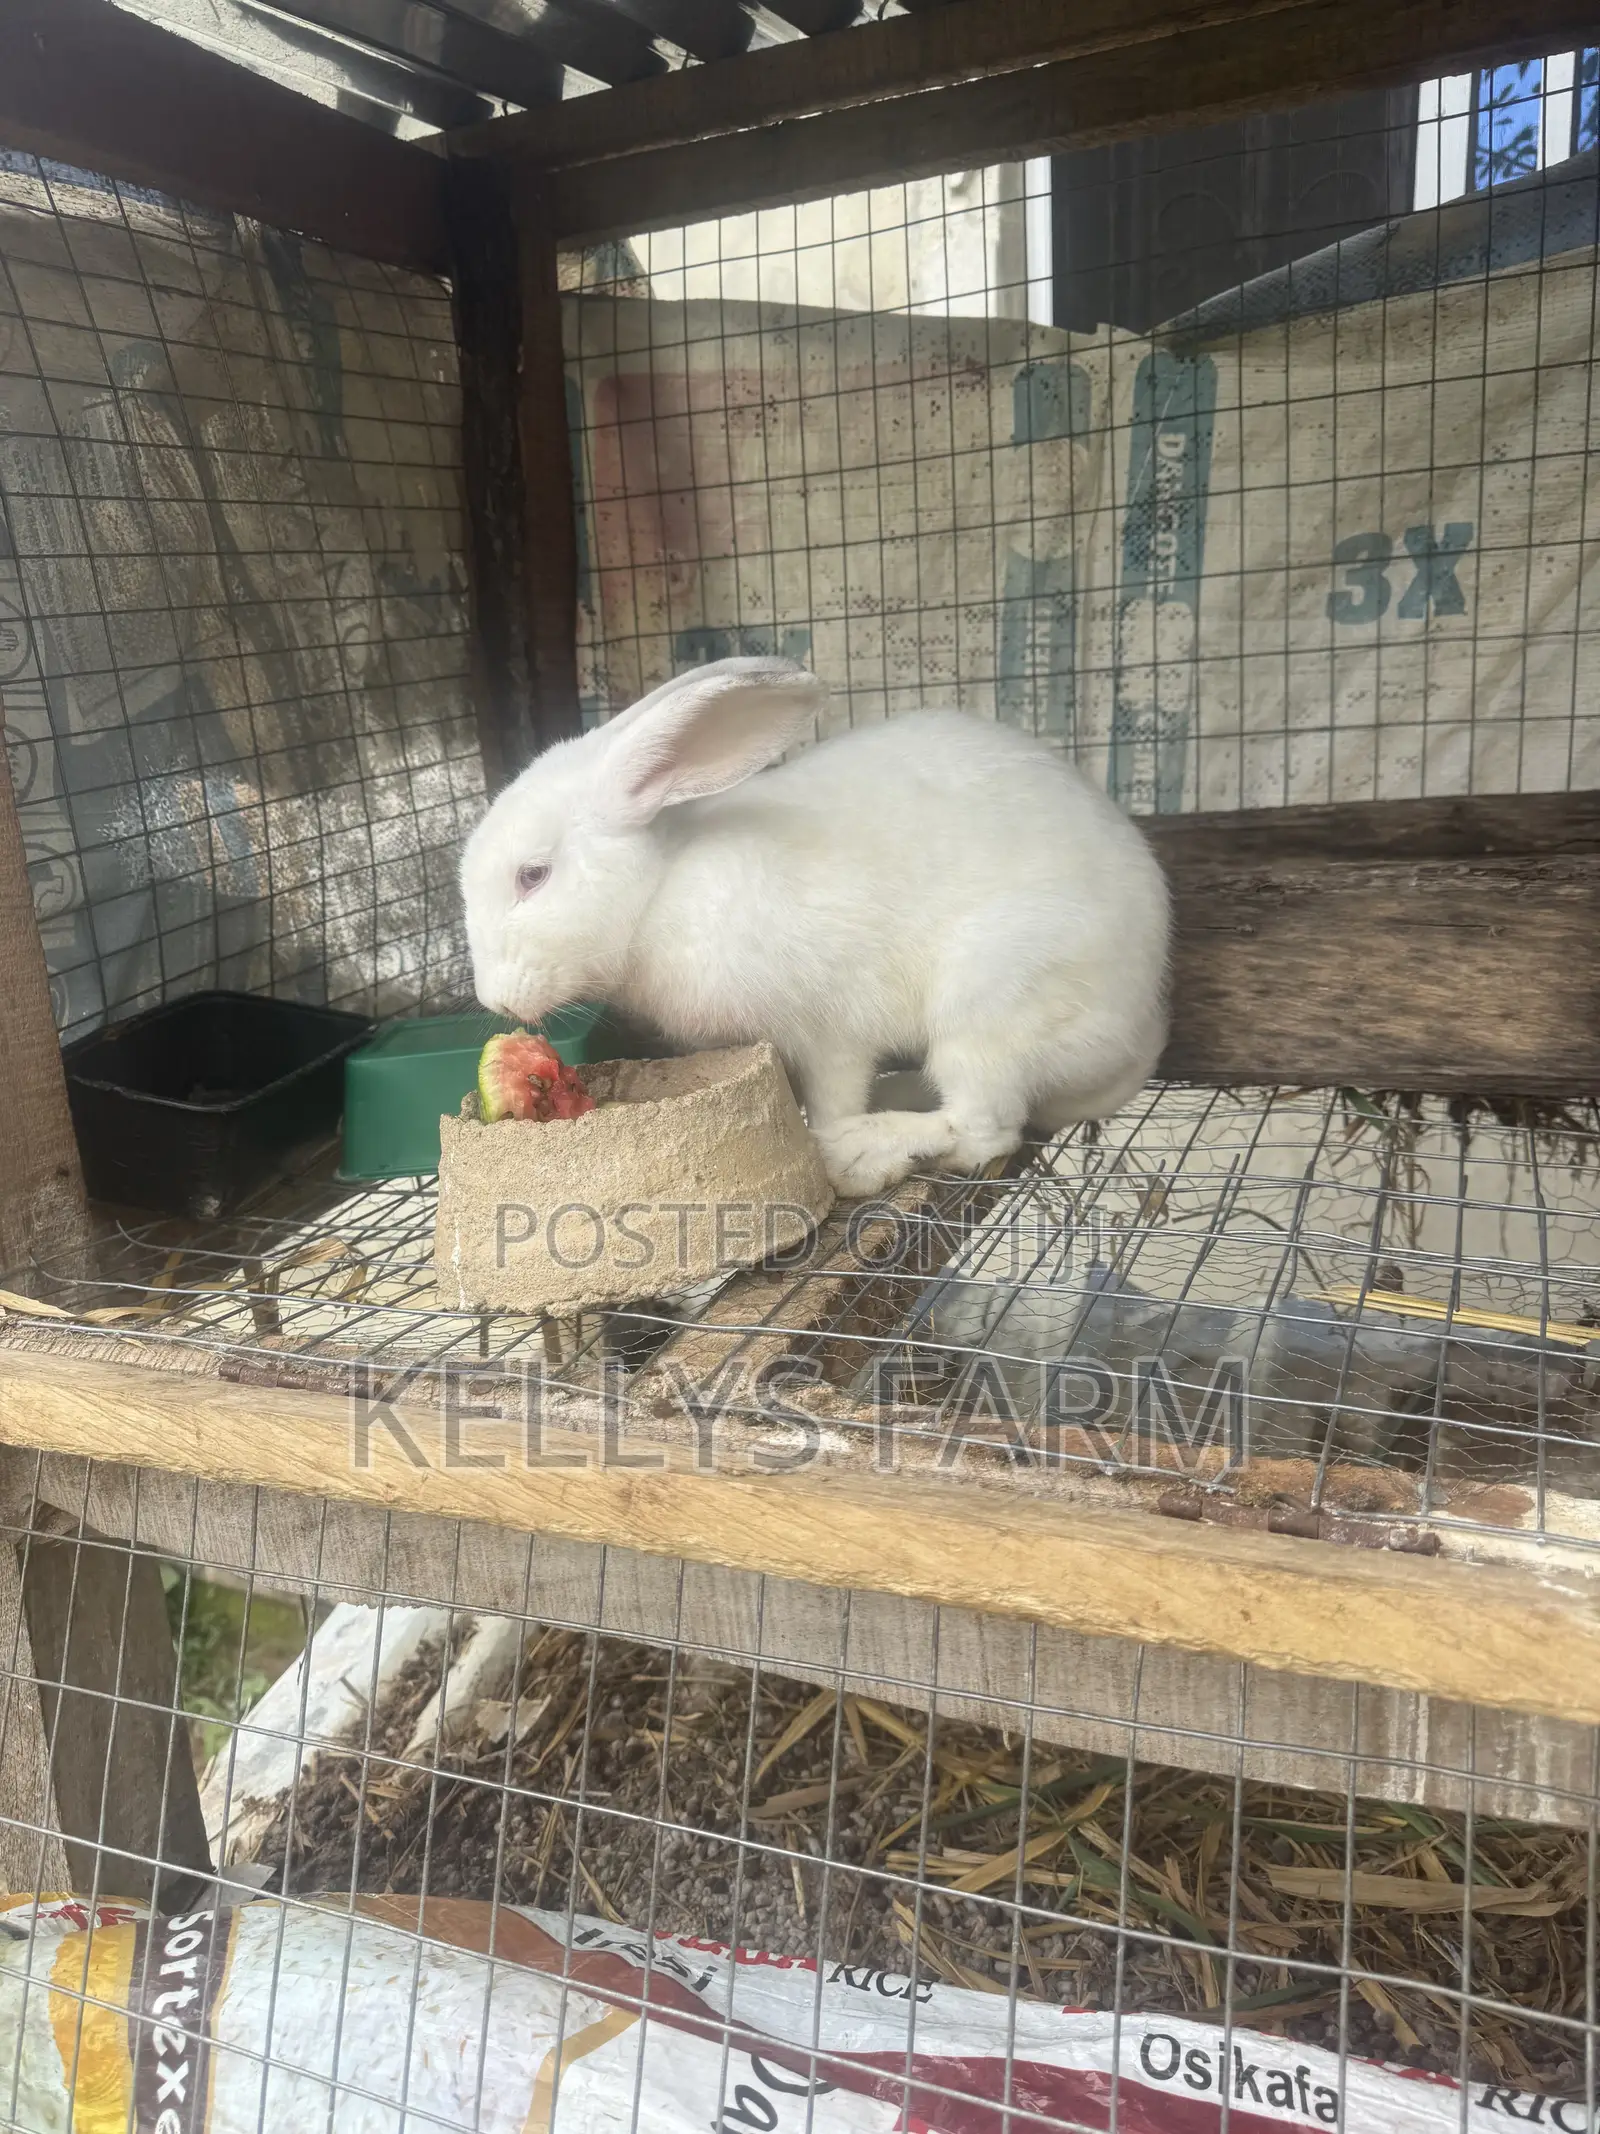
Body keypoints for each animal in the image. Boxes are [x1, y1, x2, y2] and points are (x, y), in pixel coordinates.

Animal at [461, 657, 1170, 1198]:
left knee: (982, 1128)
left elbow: (834, 1096)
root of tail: (1137, 1036)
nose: (495, 1000)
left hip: (992, 1002)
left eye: (533, 876)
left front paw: (827, 1141)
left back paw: (864, 1151)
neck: (659, 889)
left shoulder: (831, 1032)